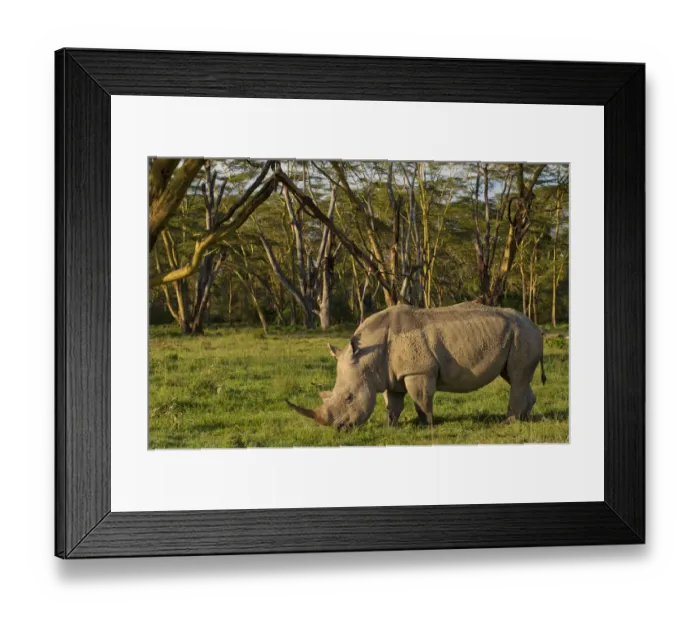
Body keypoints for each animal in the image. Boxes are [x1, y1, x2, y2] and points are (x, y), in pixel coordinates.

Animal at [286, 302, 546, 430]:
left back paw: (508, 422)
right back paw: (525, 418)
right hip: (517, 334)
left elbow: (421, 399)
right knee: (515, 377)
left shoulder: (418, 371)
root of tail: (535, 325)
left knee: (517, 377)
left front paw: (426, 425)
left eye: (349, 398)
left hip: (522, 334)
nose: (339, 428)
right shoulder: (389, 374)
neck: (369, 355)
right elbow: (392, 403)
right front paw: (390, 427)